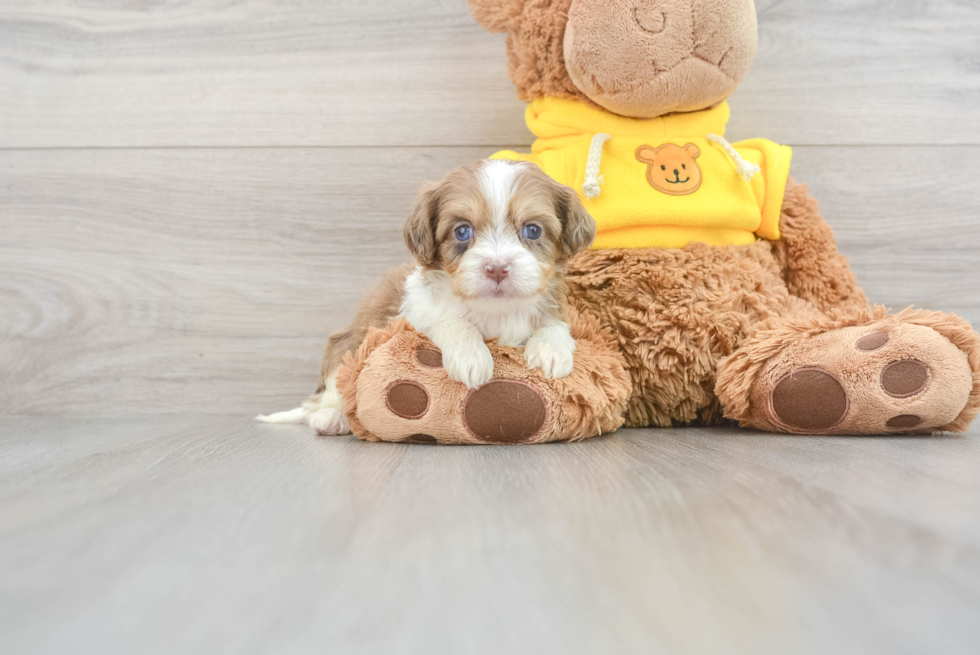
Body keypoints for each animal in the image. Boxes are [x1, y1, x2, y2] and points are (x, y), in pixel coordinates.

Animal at [260, 159, 592, 436]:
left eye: (533, 230)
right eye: (462, 231)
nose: (497, 268)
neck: (494, 310)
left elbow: (554, 323)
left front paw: (551, 350)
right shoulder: (412, 315)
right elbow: (450, 320)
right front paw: (471, 356)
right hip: (343, 348)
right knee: (327, 395)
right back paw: (332, 418)